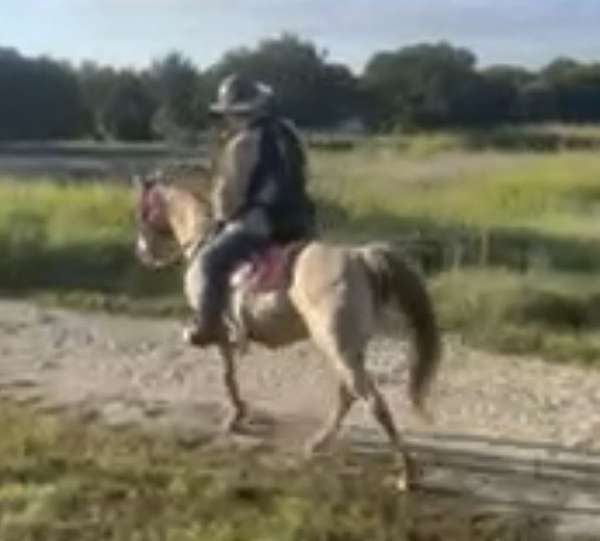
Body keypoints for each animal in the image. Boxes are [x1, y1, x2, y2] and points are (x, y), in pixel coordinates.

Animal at [132, 162, 440, 488]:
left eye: (142, 210)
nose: (142, 253)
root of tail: (358, 257)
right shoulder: (227, 337)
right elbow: (230, 374)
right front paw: (239, 415)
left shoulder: (218, 334)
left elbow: (227, 377)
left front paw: (235, 416)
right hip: (347, 349)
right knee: (348, 395)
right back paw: (319, 443)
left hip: (337, 346)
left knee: (372, 401)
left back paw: (406, 473)